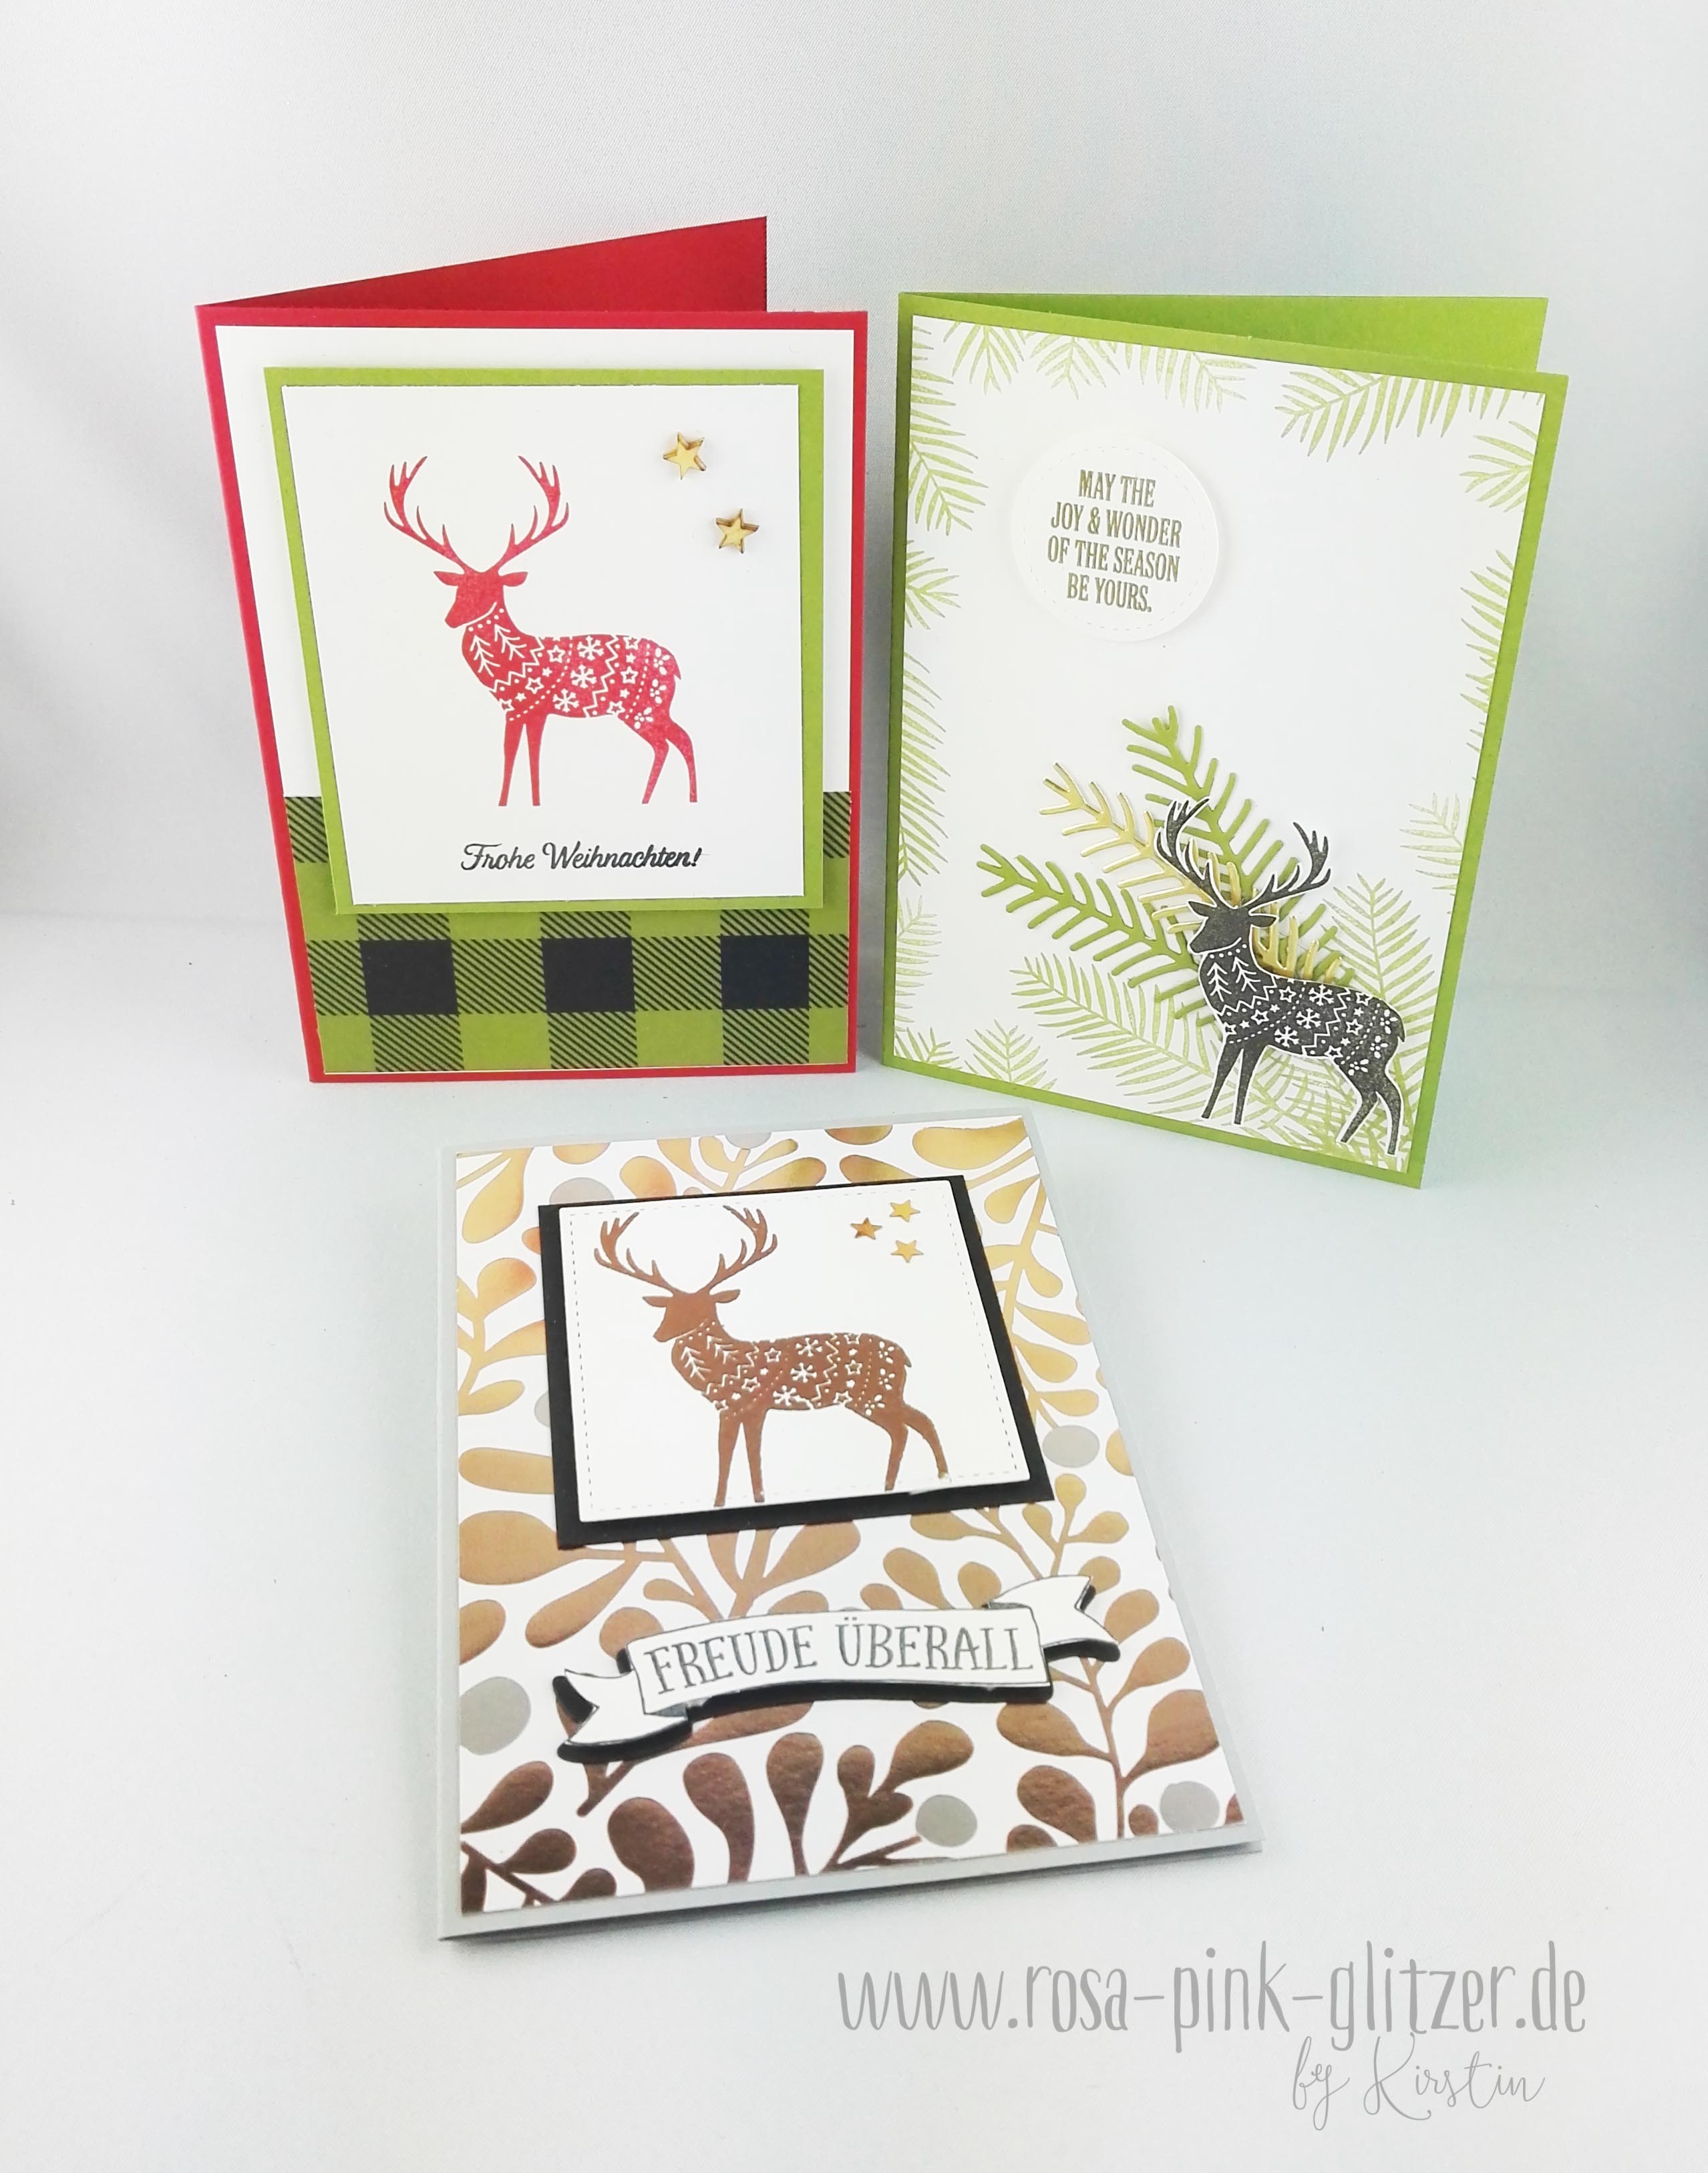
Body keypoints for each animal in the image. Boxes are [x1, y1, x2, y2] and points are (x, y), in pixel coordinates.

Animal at [383, 455, 696, 808]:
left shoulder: (533, 707)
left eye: (489, 590)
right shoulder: (518, 710)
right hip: (648, 709)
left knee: (673, 741)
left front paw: (525, 802)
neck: (513, 664)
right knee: (676, 739)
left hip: (644, 706)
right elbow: (514, 753)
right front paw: (513, 802)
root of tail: (675, 665)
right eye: (459, 588)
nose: (450, 620)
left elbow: (529, 755)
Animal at [593, 1206, 947, 1509]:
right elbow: (741, 1456)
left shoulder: (746, 1406)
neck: (725, 1368)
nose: (658, 1335)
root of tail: (903, 1356)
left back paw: (914, 1480)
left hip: (872, 1395)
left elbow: (739, 1455)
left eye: (698, 1308)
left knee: (907, 1428)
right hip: (881, 1396)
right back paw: (928, 1477)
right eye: (668, 1308)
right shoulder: (741, 1410)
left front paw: (734, 1500)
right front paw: (741, 1500)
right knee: (918, 1422)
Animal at [1151, 796, 1406, 1151]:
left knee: (1387, 1095)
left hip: (1363, 1056)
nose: (1195, 944)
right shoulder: (1248, 1037)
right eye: (1210, 917)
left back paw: (1367, 1145)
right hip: (1364, 1059)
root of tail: (1398, 1025)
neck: (1242, 995)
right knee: (1383, 1094)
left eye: (1235, 924)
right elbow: (1237, 1078)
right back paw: (1363, 1143)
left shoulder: (1246, 1033)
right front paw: (1229, 1120)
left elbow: (1229, 1076)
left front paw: (1213, 1116)